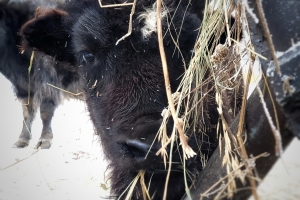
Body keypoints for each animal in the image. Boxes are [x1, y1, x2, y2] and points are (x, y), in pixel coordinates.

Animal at [0, 0, 81, 148]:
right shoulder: (24, 86)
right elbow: (27, 112)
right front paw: (22, 139)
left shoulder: (48, 84)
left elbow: (45, 111)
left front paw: (44, 140)